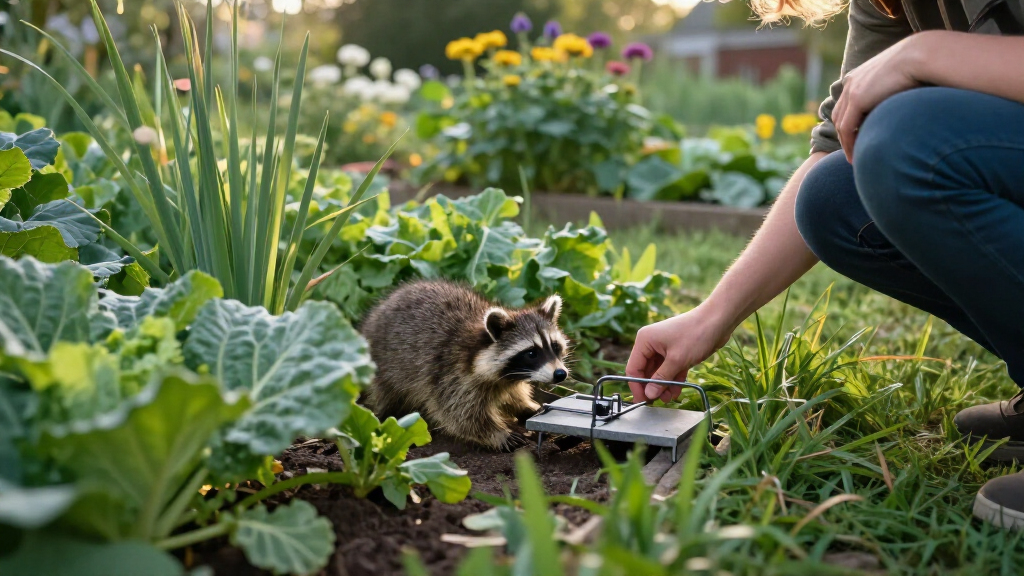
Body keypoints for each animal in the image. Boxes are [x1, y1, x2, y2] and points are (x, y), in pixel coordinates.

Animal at [360, 279, 570, 451]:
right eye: (532, 353)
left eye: (555, 346)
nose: (560, 374)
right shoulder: (451, 374)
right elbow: (459, 414)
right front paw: (497, 433)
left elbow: (514, 394)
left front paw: (525, 405)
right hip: (385, 367)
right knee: (389, 397)